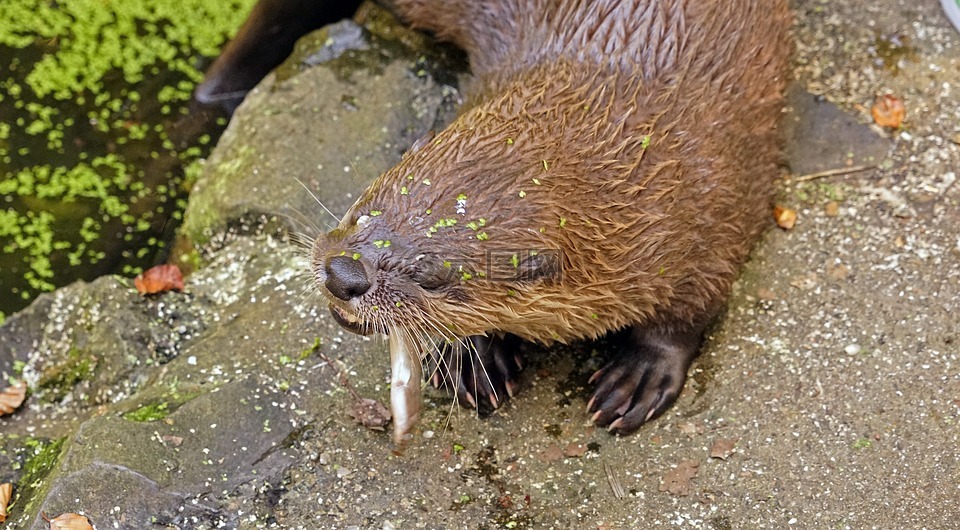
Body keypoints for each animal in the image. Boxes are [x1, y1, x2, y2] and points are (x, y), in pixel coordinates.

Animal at [202, 0, 788, 442]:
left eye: (432, 275)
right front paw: (474, 357)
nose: (343, 275)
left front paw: (641, 374)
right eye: (360, 209)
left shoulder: (721, 205)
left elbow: (694, 307)